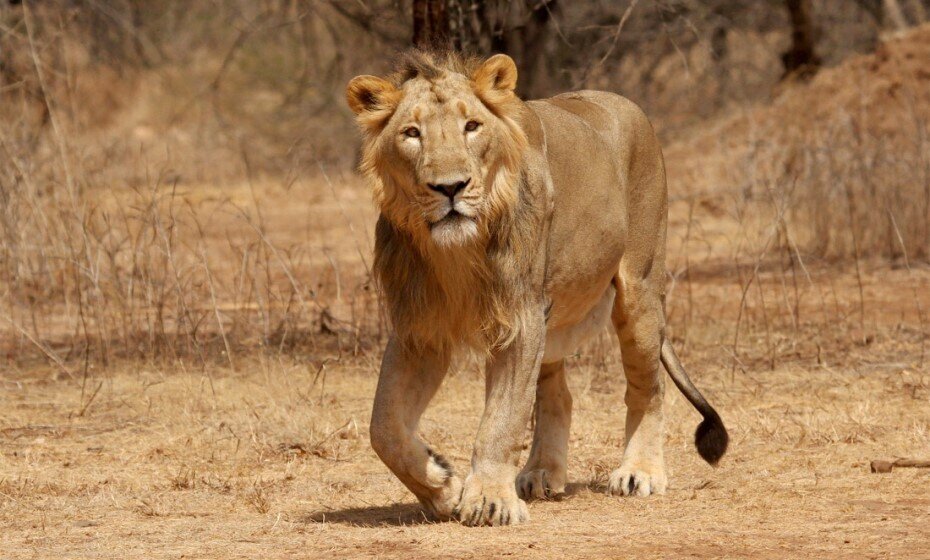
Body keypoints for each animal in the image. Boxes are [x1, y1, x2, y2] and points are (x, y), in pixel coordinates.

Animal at [344, 50, 728, 528]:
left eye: (472, 126)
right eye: (411, 134)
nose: (450, 188)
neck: (455, 252)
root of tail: (625, 103)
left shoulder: (519, 317)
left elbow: (501, 420)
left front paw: (489, 501)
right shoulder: (420, 328)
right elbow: (384, 428)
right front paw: (442, 486)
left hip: (639, 290)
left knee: (647, 388)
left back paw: (639, 473)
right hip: (556, 315)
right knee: (557, 395)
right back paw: (542, 472)